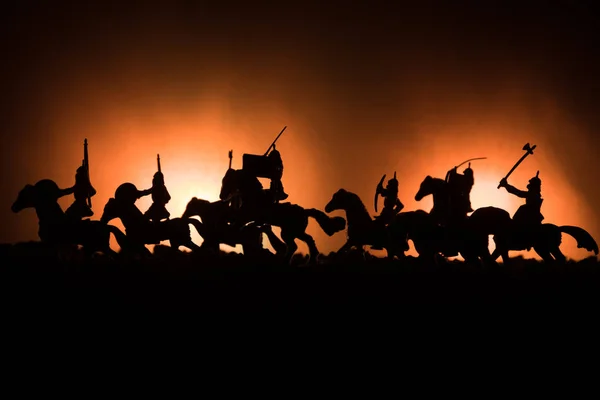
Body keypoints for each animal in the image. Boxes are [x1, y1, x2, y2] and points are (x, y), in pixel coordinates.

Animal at [414, 175, 596, 262]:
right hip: (545, 248)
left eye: (424, 185)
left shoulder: (497, 248)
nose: (417, 197)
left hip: (544, 247)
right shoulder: (498, 248)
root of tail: (558, 228)